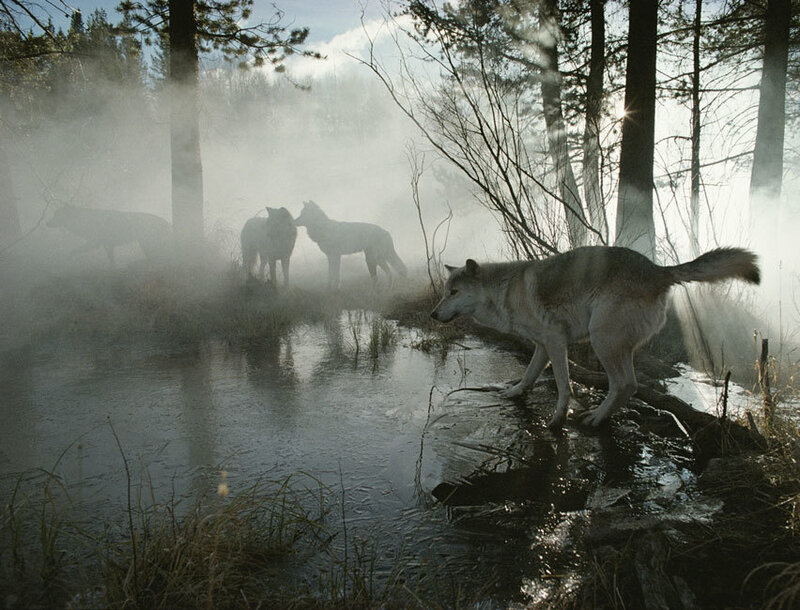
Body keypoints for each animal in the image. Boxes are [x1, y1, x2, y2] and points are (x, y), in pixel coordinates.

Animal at [430, 246, 760, 431]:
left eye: (454, 292)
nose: (433, 314)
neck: (505, 290)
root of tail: (658, 271)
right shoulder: (542, 346)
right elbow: (528, 375)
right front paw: (514, 393)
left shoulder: (556, 341)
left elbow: (563, 386)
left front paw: (557, 421)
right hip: (616, 347)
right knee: (630, 386)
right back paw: (600, 417)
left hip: (602, 341)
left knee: (624, 384)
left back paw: (594, 420)